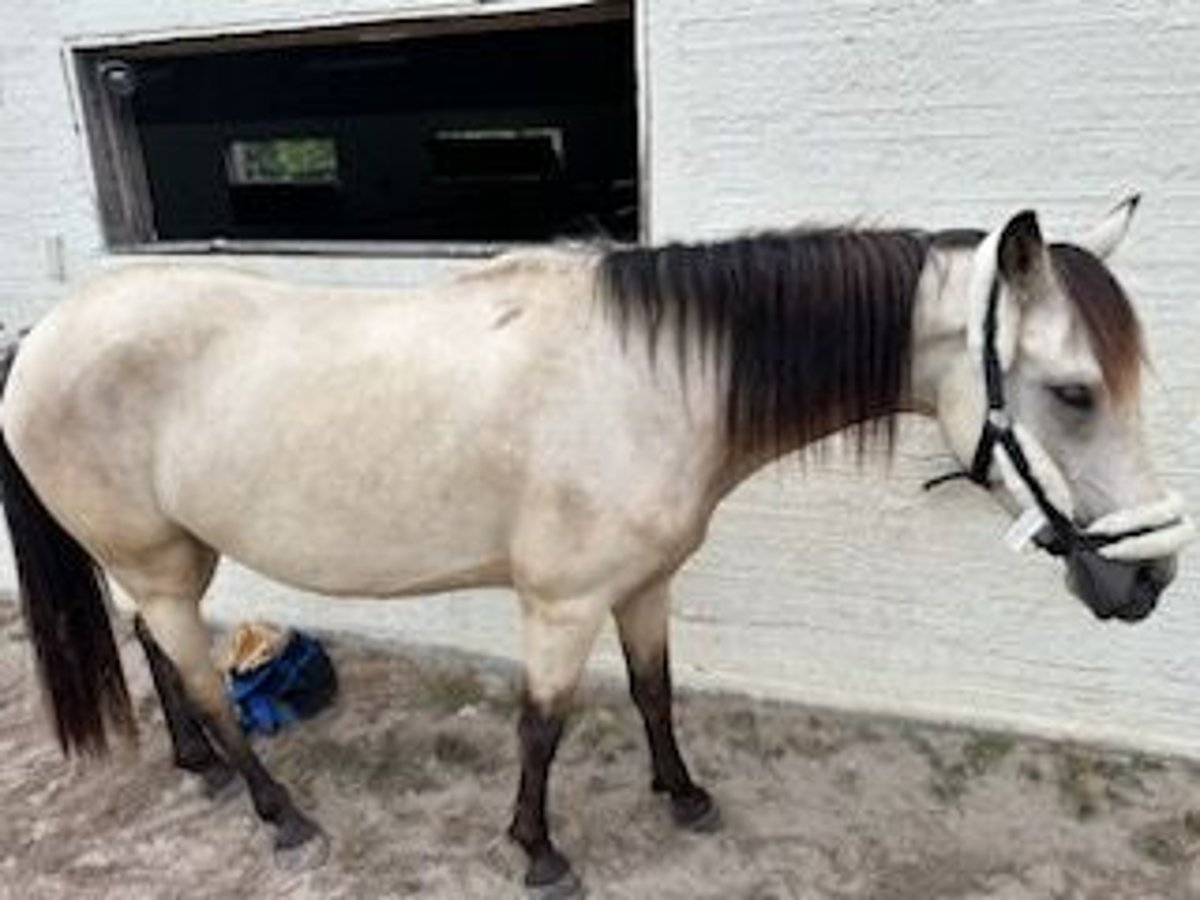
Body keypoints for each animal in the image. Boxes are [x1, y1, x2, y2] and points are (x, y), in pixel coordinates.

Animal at [0, 196, 1190, 897]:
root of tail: (45, 334)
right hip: (162, 565)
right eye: (1074, 393)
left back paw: (201, 772)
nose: (1149, 579)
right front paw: (539, 854)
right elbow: (542, 729)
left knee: (158, 658)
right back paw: (279, 814)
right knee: (203, 681)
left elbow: (655, 691)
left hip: (162, 559)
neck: (652, 381)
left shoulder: (643, 585)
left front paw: (686, 798)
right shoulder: (561, 605)